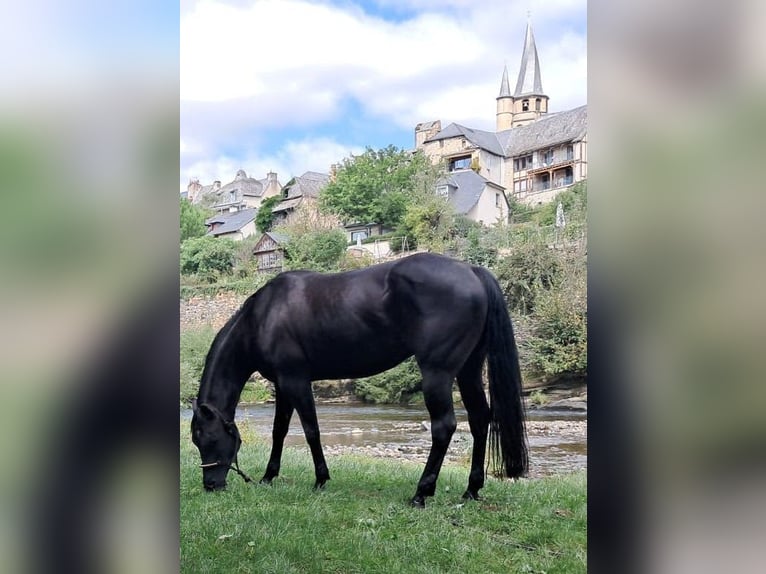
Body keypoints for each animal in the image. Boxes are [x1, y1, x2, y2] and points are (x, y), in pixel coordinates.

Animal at [191, 252, 528, 508]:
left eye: (207, 438)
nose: (211, 484)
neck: (263, 316)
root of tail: (471, 270)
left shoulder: (296, 381)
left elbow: (311, 431)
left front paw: (320, 479)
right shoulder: (282, 387)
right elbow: (279, 432)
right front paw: (268, 476)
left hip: (438, 373)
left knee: (444, 426)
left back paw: (421, 493)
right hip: (469, 369)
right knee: (479, 418)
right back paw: (471, 489)